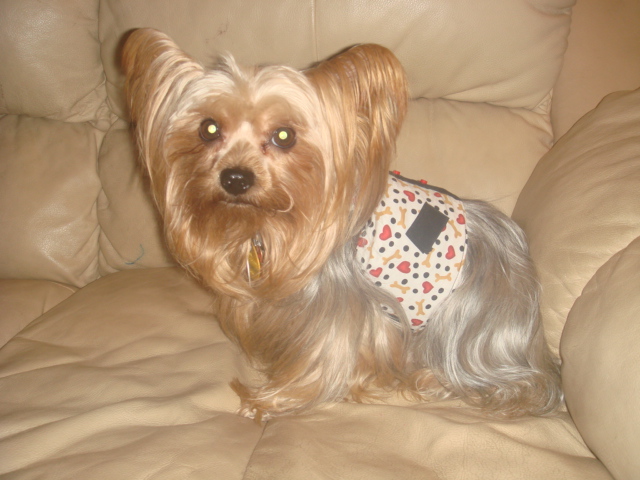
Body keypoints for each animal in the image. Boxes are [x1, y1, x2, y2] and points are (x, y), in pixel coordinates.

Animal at [122, 28, 562, 421]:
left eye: (285, 136)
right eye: (209, 128)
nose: (235, 178)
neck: (272, 222)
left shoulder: (342, 310)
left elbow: (325, 359)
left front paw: (271, 401)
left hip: (467, 329)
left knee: (510, 382)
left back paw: (434, 379)